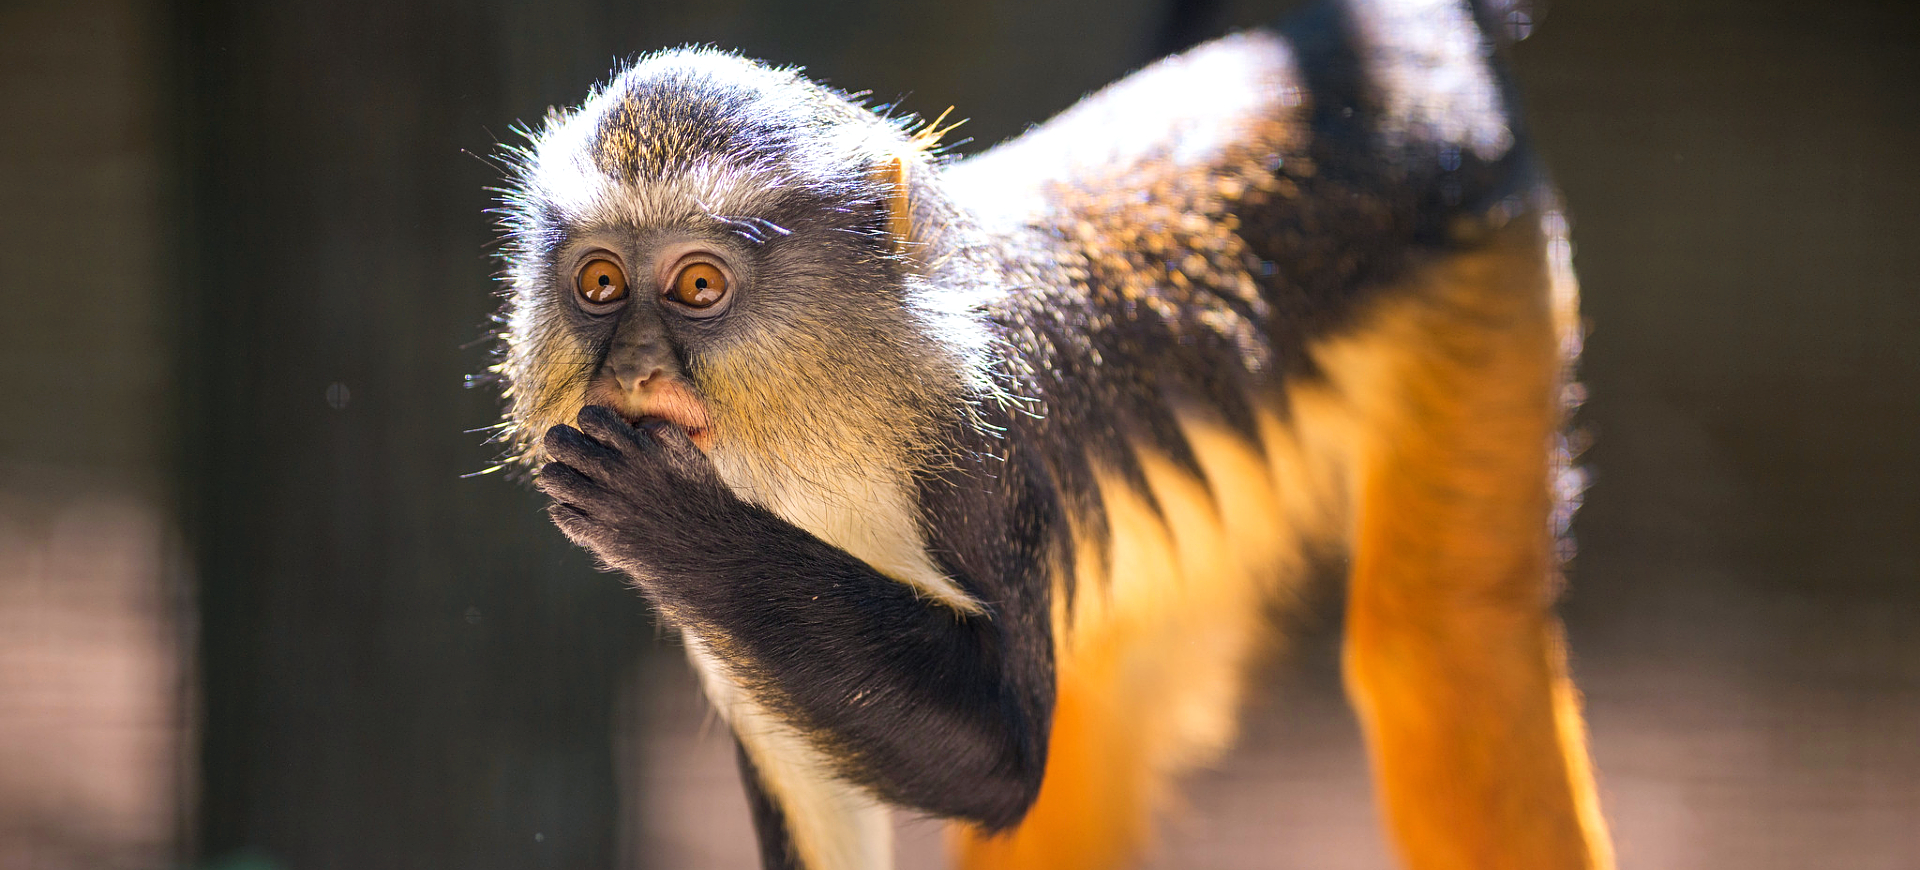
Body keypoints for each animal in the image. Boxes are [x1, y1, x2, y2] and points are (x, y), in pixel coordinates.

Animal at [487, 1, 1612, 868]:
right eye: (599, 285)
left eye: (697, 288)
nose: (633, 367)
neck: (833, 421)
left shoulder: (992, 458)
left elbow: (1005, 759)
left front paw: (676, 523)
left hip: (1486, 286)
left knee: (1436, 651)